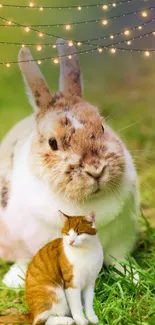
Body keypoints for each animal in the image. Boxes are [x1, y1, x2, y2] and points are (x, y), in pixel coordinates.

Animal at [0, 38, 140, 286]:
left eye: (102, 127)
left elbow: (118, 259)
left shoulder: (121, 237)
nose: (96, 169)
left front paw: (132, 276)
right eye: (52, 143)